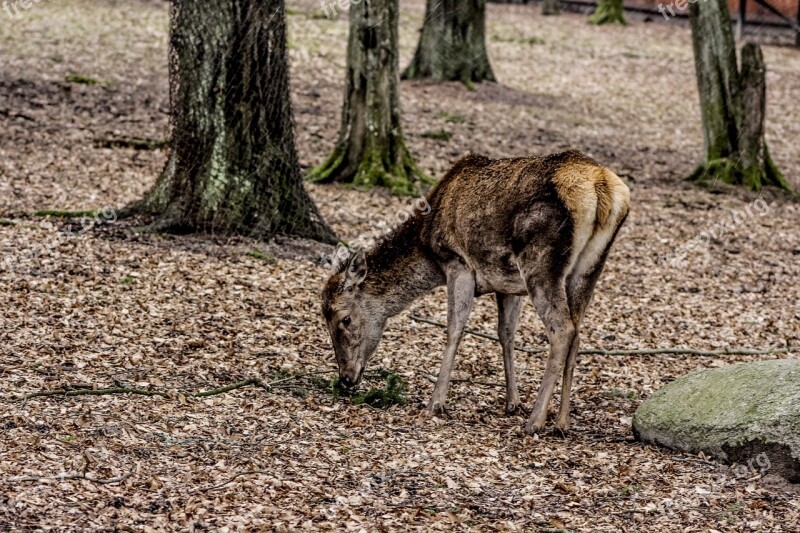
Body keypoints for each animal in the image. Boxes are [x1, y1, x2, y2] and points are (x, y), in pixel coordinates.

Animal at [320, 150, 632, 432]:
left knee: (562, 330)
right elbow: (505, 334)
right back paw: (562, 421)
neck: (426, 243)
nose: (345, 378)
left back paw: (535, 421)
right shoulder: (507, 285)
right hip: (589, 267)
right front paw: (512, 402)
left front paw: (436, 403)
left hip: (541, 263)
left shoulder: (458, 263)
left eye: (344, 319)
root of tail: (602, 184)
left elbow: (455, 328)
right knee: (577, 333)